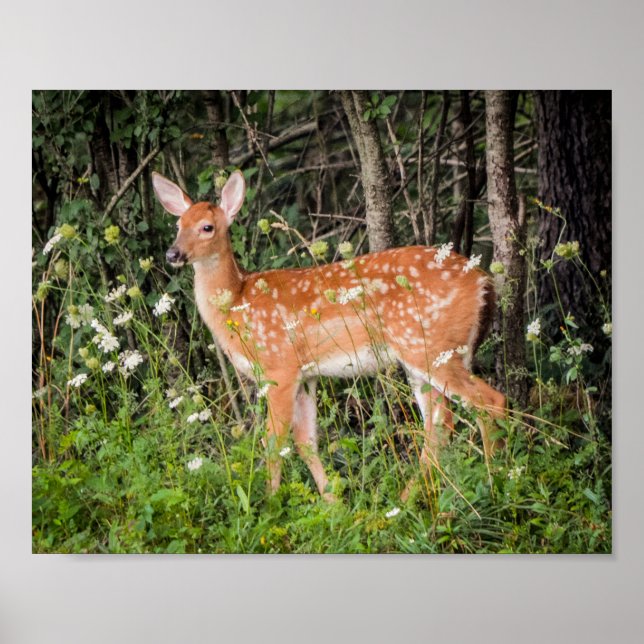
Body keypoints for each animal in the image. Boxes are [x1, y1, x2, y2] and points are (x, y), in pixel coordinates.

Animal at [152, 170, 506, 502]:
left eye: (207, 227)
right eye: (178, 224)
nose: (172, 254)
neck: (237, 303)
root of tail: (483, 281)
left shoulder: (279, 367)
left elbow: (273, 441)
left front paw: (270, 502)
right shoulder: (306, 375)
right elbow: (306, 441)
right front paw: (333, 502)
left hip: (432, 347)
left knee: (488, 402)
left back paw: (496, 484)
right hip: (425, 357)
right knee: (439, 425)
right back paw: (409, 500)